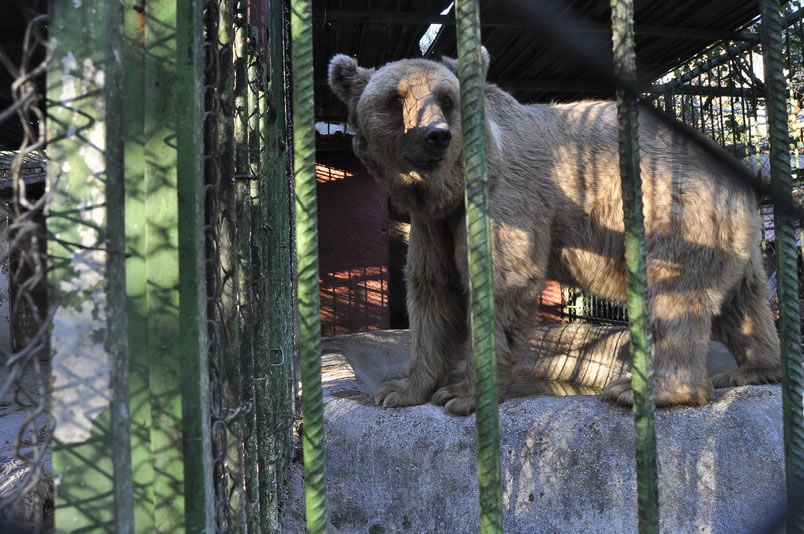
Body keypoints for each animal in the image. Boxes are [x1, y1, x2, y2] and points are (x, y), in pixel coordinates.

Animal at [326, 51, 780, 418]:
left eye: (446, 99)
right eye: (395, 98)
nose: (435, 135)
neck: (449, 188)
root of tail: (742, 174)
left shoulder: (507, 198)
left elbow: (501, 281)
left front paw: (462, 394)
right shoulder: (436, 224)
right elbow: (433, 290)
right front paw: (401, 389)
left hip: (677, 210)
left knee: (674, 295)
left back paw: (646, 390)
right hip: (731, 234)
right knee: (745, 300)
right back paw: (753, 369)